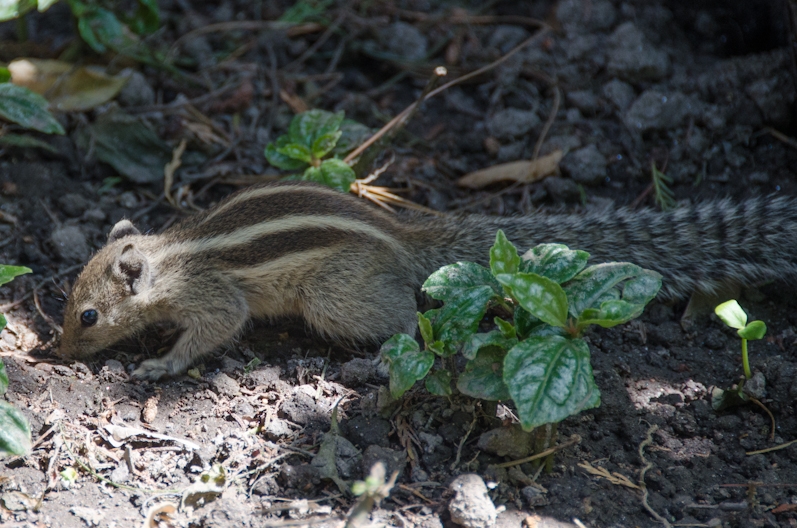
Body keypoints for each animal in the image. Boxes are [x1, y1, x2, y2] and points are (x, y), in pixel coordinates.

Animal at [59, 182, 796, 380]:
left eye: (87, 316)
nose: (58, 354)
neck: (169, 259)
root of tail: (407, 240)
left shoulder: (212, 295)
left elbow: (218, 325)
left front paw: (162, 364)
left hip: (333, 296)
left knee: (411, 317)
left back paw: (393, 354)